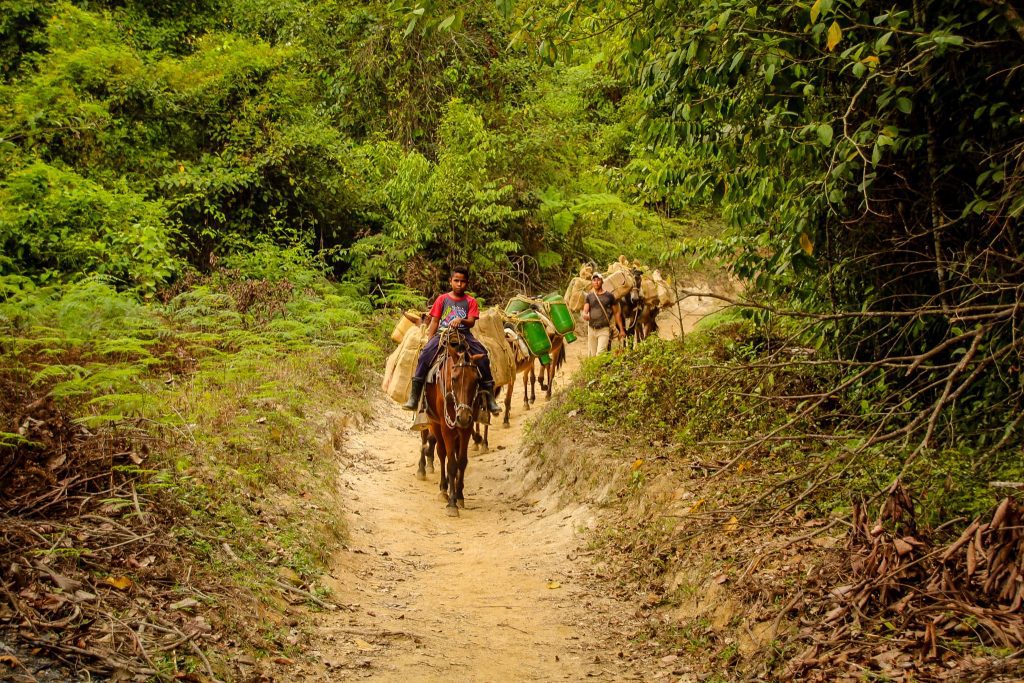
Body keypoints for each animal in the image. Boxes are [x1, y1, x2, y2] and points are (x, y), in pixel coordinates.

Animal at [425, 327, 485, 516]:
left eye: (476, 380)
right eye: (454, 378)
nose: (463, 416)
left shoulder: (466, 428)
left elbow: (462, 461)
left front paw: (459, 495)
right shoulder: (446, 427)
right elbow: (451, 463)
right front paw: (452, 503)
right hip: (435, 423)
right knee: (441, 452)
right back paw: (444, 489)